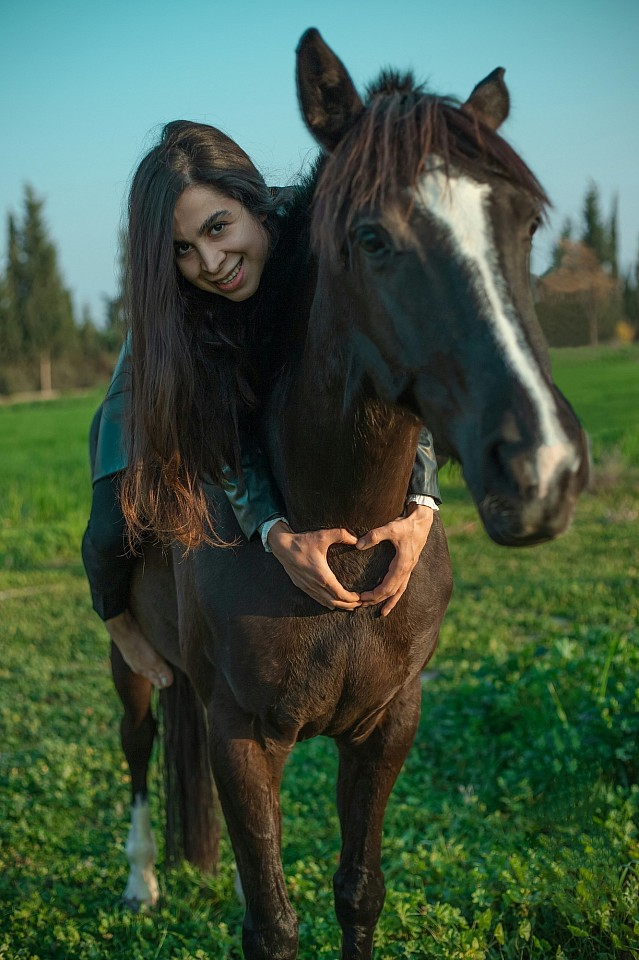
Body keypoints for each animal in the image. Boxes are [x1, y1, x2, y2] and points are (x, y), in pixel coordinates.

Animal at [108, 28, 589, 960]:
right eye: (371, 237)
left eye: (524, 222)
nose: (540, 468)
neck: (346, 534)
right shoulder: (242, 740)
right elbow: (272, 925)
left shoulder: (385, 728)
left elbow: (357, 892)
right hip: (129, 663)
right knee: (140, 747)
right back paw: (142, 879)